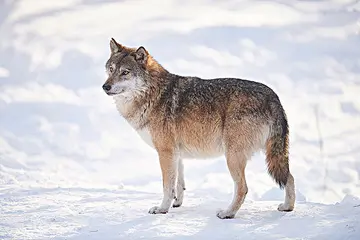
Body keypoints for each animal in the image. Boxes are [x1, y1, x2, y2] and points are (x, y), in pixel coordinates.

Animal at [101, 37, 296, 219]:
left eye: (125, 72)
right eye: (111, 69)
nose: (105, 86)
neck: (153, 94)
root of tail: (273, 97)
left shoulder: (165, 152)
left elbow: (167, 186)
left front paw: (162, 209)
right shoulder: (176, 154)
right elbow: (178, 184)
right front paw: (176, 203)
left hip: (232, 157)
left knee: (243, 188)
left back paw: (228, 213)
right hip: (271, 155)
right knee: (290, 177)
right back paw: (287, 207)